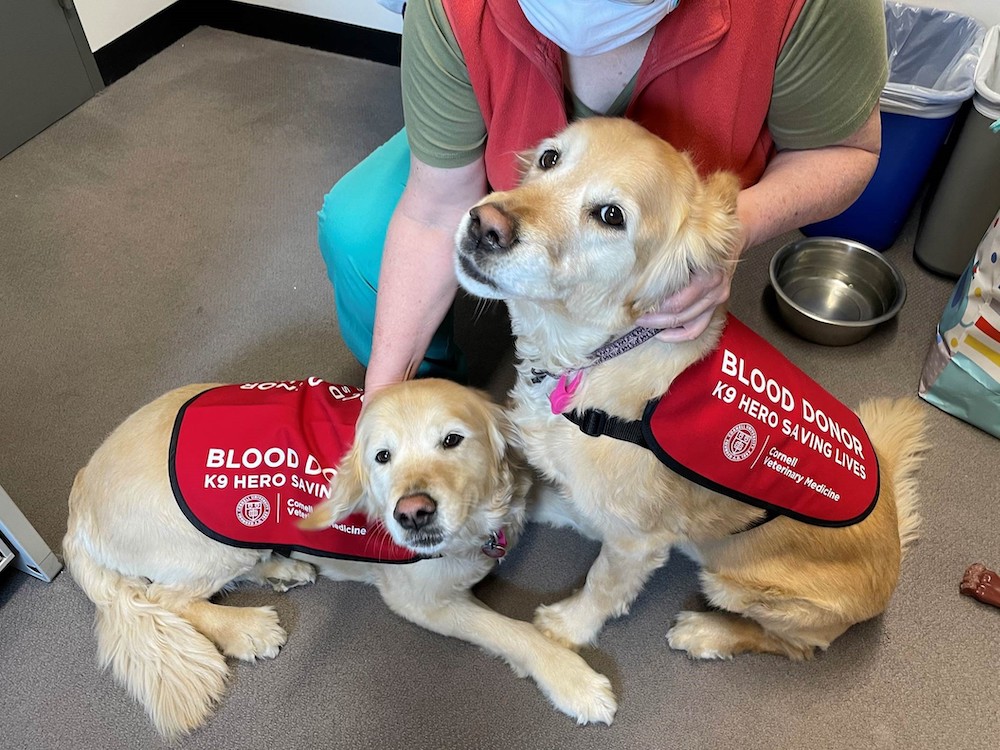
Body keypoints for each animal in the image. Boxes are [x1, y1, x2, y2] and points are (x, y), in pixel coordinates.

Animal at [62, 378, 616, 736]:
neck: (476, 527)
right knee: (166, 597)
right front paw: (574, 681)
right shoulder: (424, 602)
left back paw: (284, 567)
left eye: (452, 440)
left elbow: (579, 505)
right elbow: (515, 632)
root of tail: (80, 494)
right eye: (382, 456)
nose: (412, 514)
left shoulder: (518, 499)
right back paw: (246, 629)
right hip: (215, 540)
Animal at [458, 117, 924, 664]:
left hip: (746, 589)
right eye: (550, 158)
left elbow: (602, 585)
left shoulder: (636, 542)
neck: (598, 356)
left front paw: (568, 627)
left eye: (611, 215)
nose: (485, 225)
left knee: (792, 645)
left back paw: (707, 632)